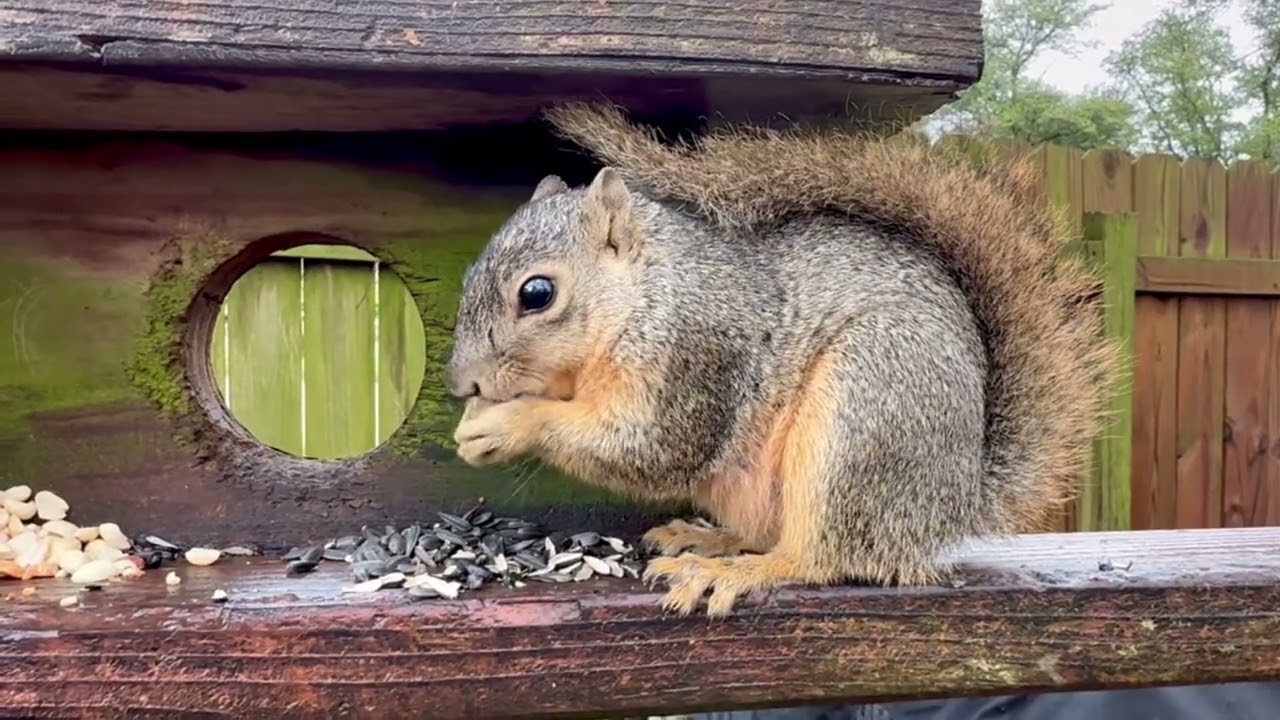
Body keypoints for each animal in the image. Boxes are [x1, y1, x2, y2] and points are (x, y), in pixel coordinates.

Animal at [444, 102, 1122, 618]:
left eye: (537, 293)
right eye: (468, 274)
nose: (460, 384)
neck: (642, 295)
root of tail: (949, 509)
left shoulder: (696, 354)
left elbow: (652, 448)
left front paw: (507, 424)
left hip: (866, 406)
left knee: (824, 556)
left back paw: (741, 571)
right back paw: (704, 538)